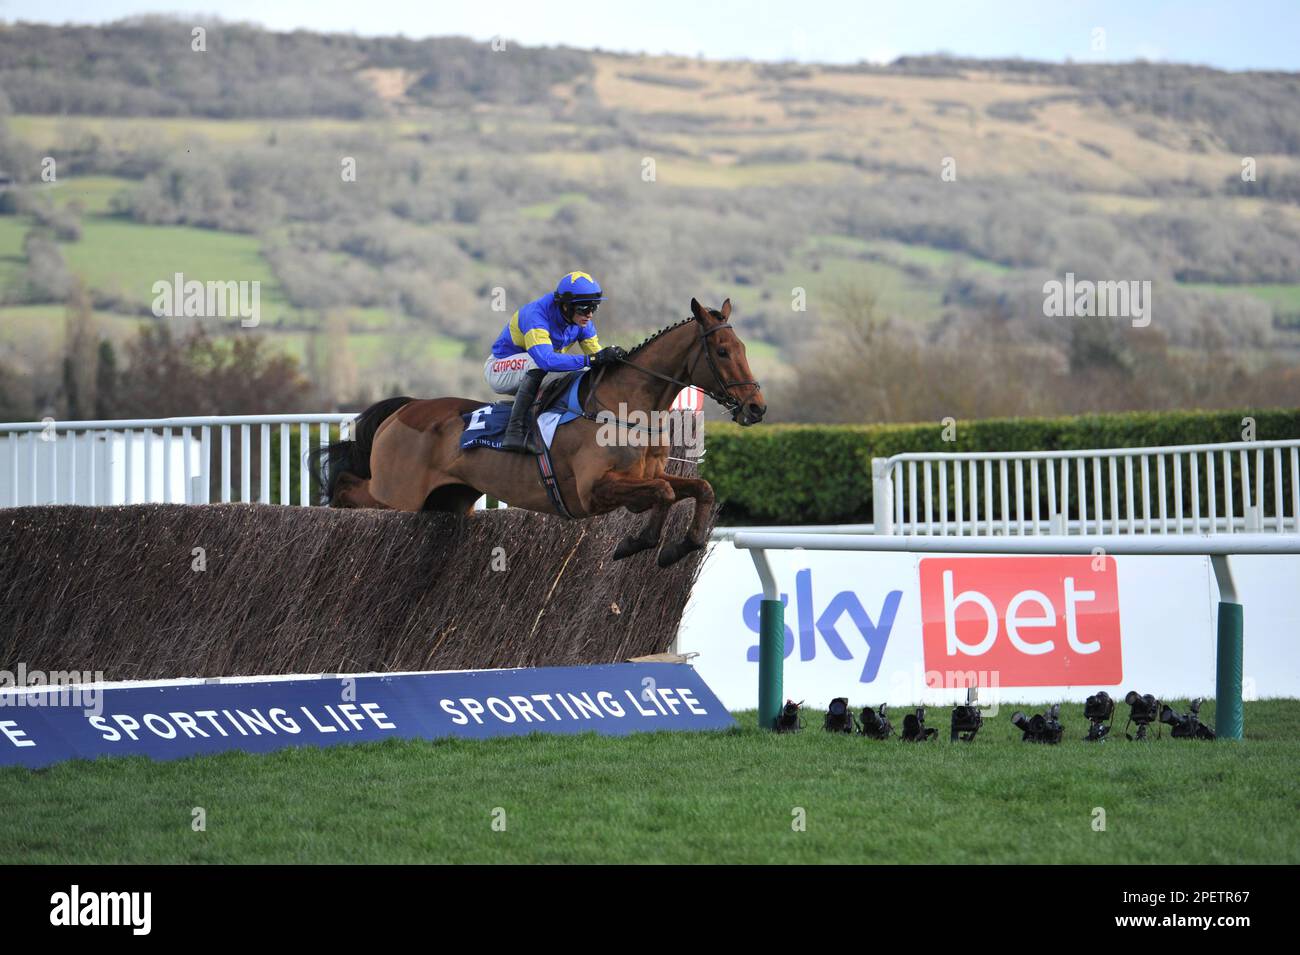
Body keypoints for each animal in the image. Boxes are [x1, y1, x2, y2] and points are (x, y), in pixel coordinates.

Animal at [310, 298, 764, 566]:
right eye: (723, 351)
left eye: (744, 349)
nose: (757, 407)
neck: (625, 408)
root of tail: (406, 408)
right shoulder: (593, 490)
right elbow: (666, 493)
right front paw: (636, 542)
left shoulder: (646, 476)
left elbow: (699, 488)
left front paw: (680, 546)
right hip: (396, 494)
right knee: (349, 485)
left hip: (446, 501)